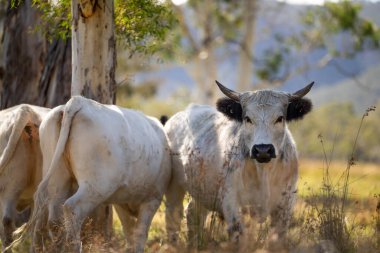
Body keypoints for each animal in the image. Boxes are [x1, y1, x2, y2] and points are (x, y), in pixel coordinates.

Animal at [15, 96, 171, 252]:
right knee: (72, 208)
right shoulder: (153, 199)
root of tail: (79, 101)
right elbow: (139, 234)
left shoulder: (122, 201)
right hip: (95, 186)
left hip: (58, 179)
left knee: (54, 220)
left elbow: (130, 234)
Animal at [165, 81, 314, 245]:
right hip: (174, 186)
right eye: (247, 118)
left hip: (201, 191)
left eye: (280, 118)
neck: (263, 172)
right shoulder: (232, 204)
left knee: (193, 213)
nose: (263, 149)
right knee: (173, 215)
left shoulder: (284, 206)